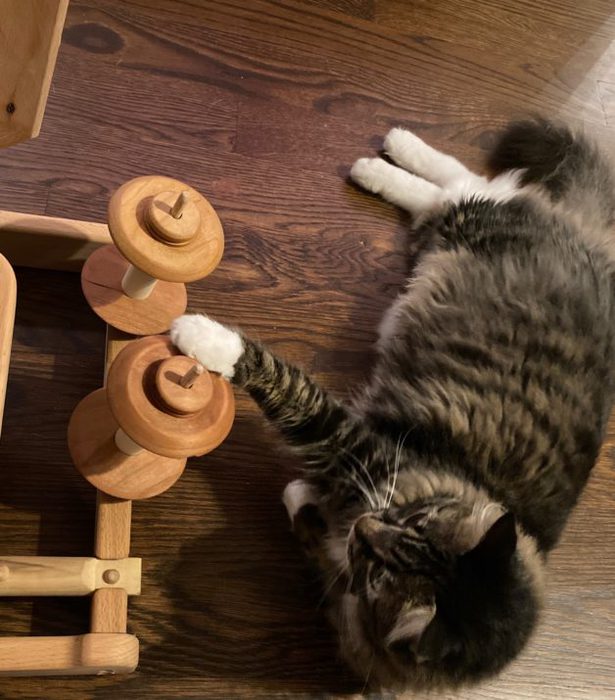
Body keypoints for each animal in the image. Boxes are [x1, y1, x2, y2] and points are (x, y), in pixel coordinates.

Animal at [168, 117, 615, 692]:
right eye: (417, 520)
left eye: (382, 572)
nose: (365, 527)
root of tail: (595, 244)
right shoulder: (352, 442)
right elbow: (283, 380)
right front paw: (201, 336)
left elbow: (311, 521)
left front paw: (302, 499)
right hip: (470, 222)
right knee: (464, 182)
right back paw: (385, 154)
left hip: (450, 233)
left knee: (453, 190)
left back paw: (380, 162)